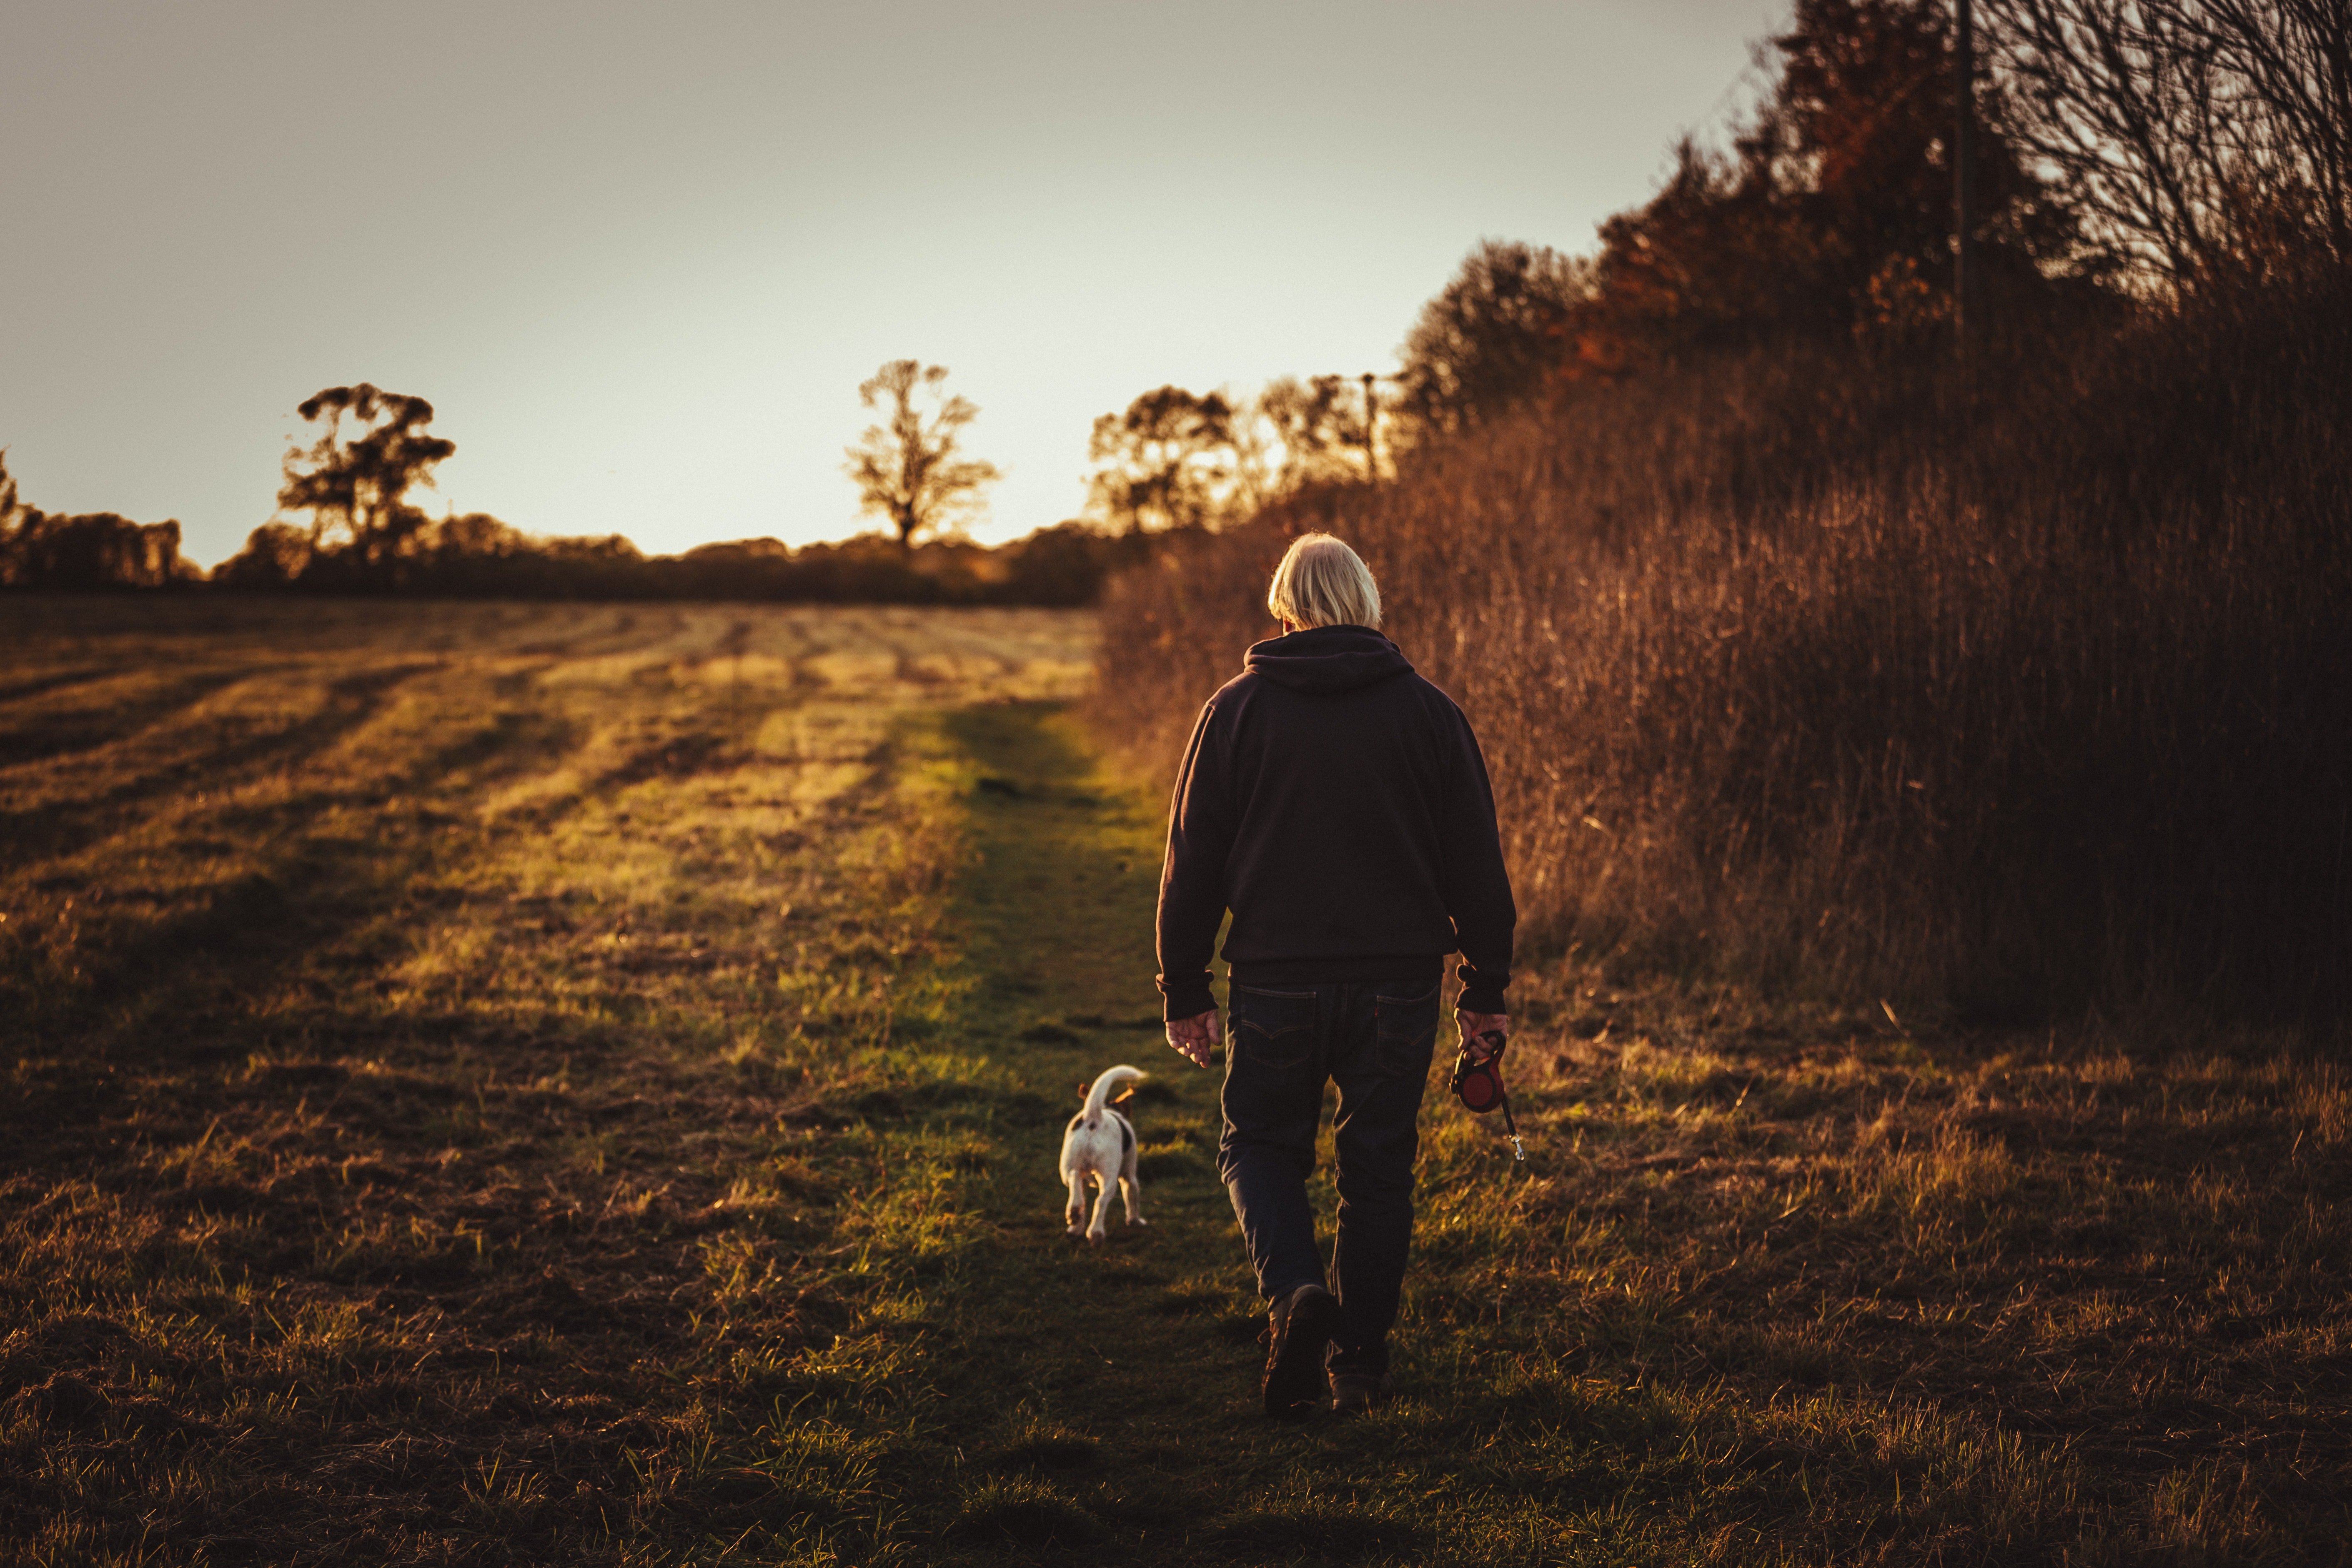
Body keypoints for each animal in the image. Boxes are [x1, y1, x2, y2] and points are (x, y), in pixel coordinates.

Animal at [1063, 1062, 1143, 1241]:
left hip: (1068, 1166)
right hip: (1109, 1177)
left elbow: (1083, 1198)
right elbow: (1132, 1196)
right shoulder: (1129, 1175)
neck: (1108, 1109)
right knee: (1101, 1200)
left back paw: (1074, 1213)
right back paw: (1096, 1233)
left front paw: (1077, 1227)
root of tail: (1094, 1118)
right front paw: (1135, 1221)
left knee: (1075, 1178)